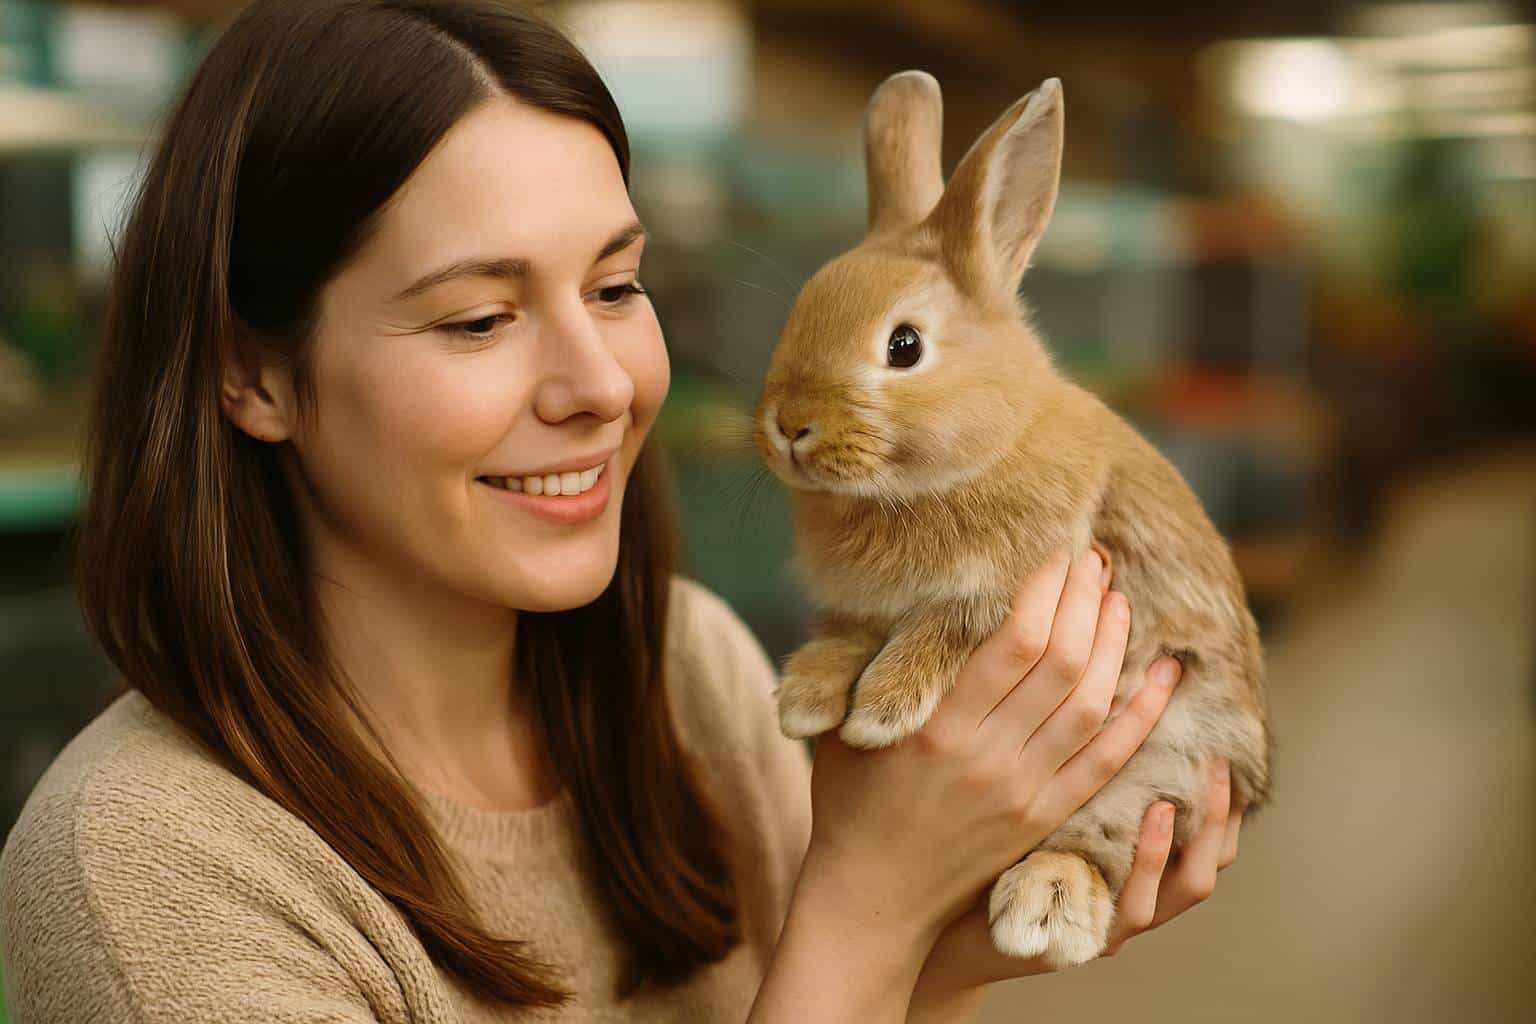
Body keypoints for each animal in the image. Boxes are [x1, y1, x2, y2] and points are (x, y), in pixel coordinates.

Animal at [750, 71, 1273, 969]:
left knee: (1100, 839)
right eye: (797, 316)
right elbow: (853, 632)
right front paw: (808, 699)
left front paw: (883, 709)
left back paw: (1047, 905)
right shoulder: (864, 607)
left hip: (1167, 763)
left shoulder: (1023, 576)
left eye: (903, 346)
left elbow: (945, 626)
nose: (790, 424)